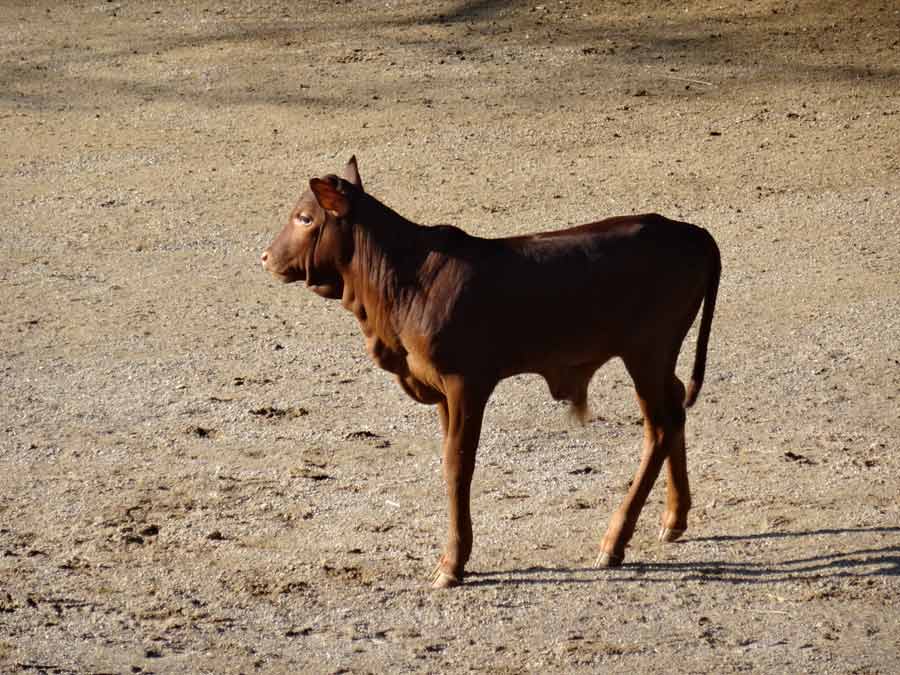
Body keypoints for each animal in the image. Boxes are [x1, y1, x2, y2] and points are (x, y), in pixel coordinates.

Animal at [262, 157, 724, 588]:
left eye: (305, 218)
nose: (265, 256)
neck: (406, 280)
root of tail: (690, 232)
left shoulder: (466, 383)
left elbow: (458, 464)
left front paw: (452, 564)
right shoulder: (440, 389)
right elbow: (450, 459)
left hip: (646, 351)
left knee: (660, 427)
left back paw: (614, 542)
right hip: (658, 357)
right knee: (675, 409)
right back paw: (673, 519)